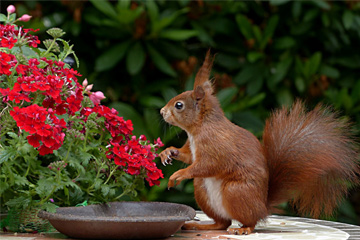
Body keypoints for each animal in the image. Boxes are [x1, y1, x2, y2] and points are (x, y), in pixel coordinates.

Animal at [160, 50, 360, 234]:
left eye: (179, 105)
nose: (161, 112)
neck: (199, 128)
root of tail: (263, 207)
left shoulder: (217, 144)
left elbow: (208, 164)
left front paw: (179, 174)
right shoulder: (193, 148)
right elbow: (188, 157)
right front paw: (168, 152)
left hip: (236, 191)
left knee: (250, 221)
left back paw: (244, 229)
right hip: (202, 190)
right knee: (223, 223)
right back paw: (199, 225)